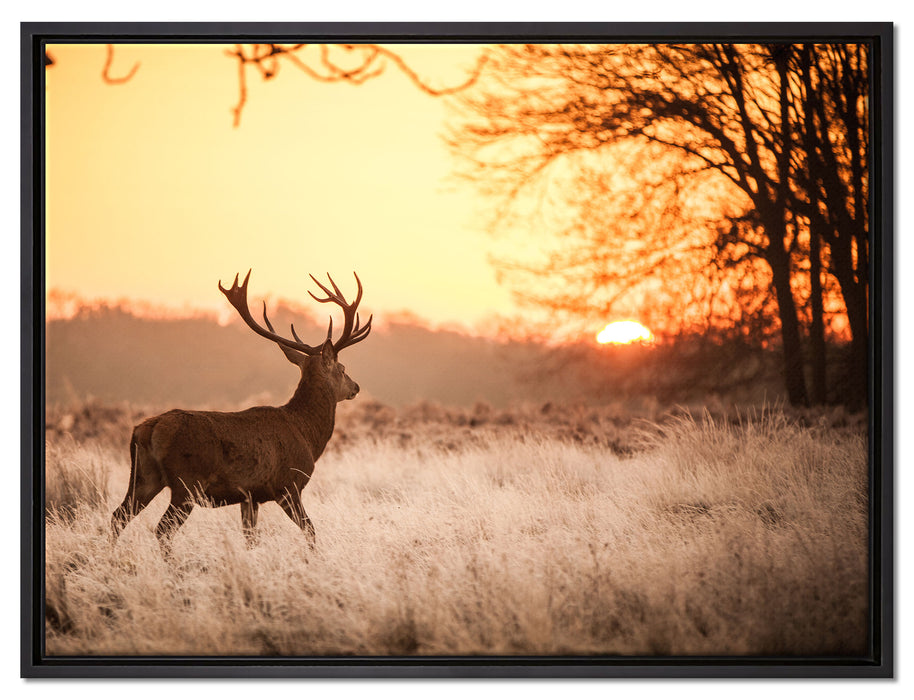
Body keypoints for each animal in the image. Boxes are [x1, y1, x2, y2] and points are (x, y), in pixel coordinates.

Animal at [110, 270, 371, 552]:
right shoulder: (288, 485)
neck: (307, 433)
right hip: (187, 483)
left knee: (118, 516)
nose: (356, 387)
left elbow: (250, 538)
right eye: (342, 368)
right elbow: (311, 530)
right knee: (162, 529)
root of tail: (148, 429)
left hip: (143, 477)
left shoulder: (250, 496)